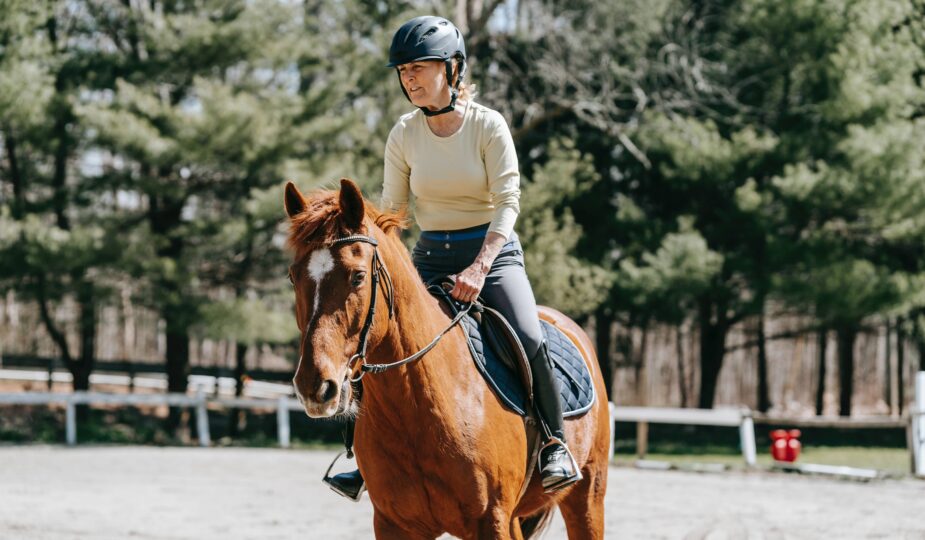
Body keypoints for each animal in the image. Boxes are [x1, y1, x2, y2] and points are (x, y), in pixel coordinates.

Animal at [286, 179, 608, 536]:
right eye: (293, 276)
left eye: (357, 276)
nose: (314, 387)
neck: (416, 406)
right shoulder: (392, 524)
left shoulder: (491, 520)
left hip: (586, 497)